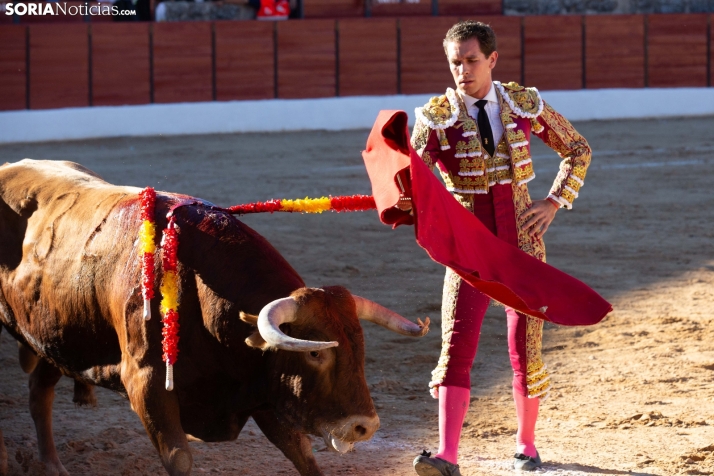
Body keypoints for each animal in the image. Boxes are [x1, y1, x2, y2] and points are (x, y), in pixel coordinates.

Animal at [0, 160, 428, 476]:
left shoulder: (263, 385)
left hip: (55, 336)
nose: (365, 426)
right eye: (315, 353)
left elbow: (301, 452)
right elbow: (180, 458)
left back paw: (52, 462)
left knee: (40, 390)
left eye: (361, 348)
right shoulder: (146, 384)